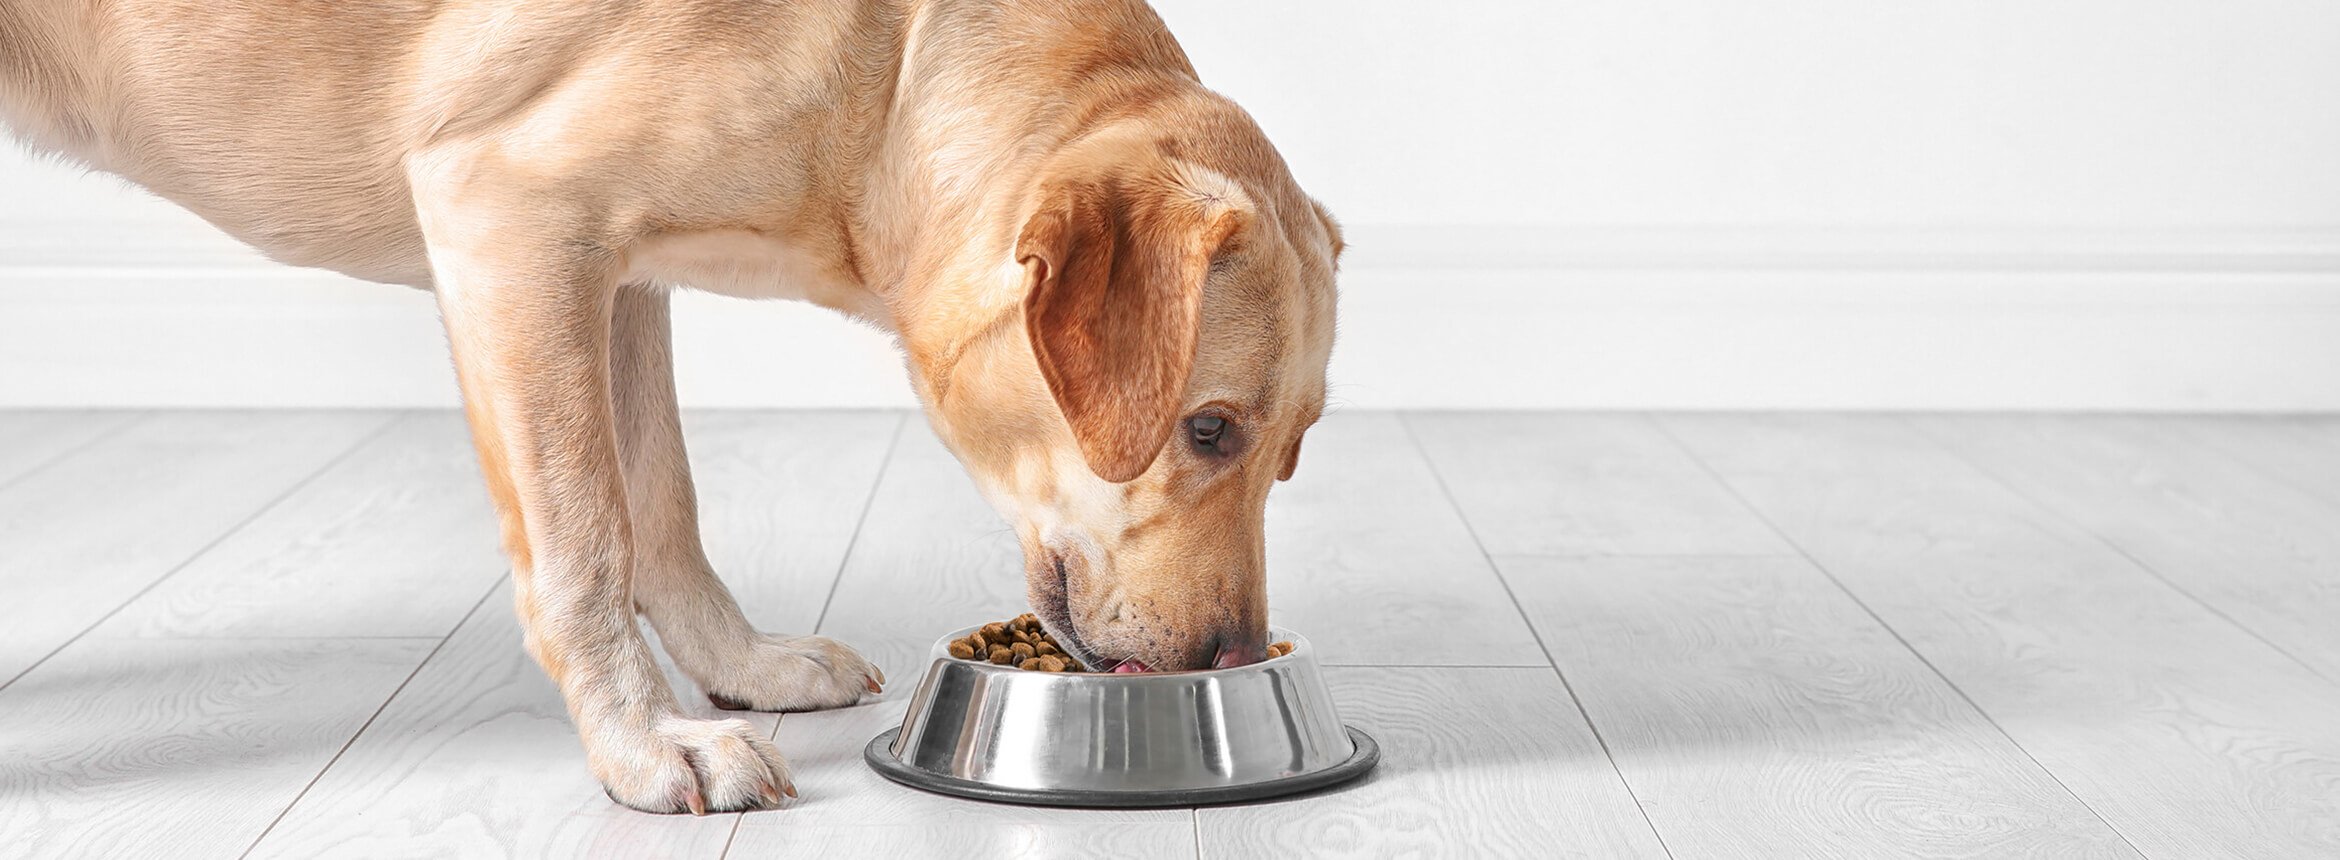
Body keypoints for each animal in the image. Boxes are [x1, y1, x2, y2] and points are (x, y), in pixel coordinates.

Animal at [0, 0, 1347, 813]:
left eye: (1294, 453)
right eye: (1208, 428)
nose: (1234, 657)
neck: (895, 65)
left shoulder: (622, 272)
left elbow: (662, 503)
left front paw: (740, 667)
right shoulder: (516, 222)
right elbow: (585, 536)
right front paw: (646, 742)